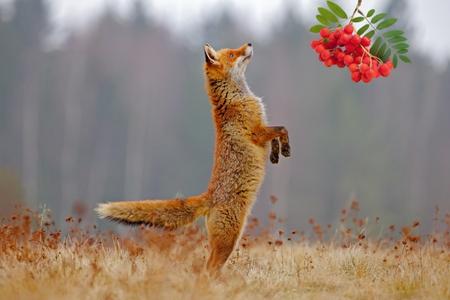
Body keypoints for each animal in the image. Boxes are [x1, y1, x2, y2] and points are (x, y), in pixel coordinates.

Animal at [96, 42, 292, 274]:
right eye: (232, 54)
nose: (250, 44)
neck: (236, 98)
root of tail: (209, 196)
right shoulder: (257, 132)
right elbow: (282, 129)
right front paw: (286, 148)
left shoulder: (263, 130)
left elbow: (276, 136)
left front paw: (276, 154)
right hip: (229, 240)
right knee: (208, 268)